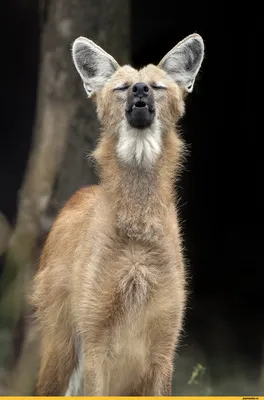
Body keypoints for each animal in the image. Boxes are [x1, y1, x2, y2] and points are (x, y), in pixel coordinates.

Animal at [29, 32, 205, 396]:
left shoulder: (164, 345)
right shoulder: (97, 342)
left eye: (157, 86)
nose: (140, 90)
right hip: (63, 346)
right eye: (122, 88)